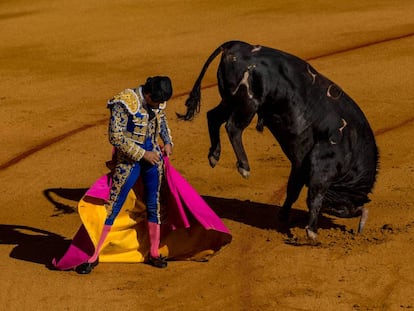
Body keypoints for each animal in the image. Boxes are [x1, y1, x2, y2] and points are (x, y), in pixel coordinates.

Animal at [178, 41, 378, 241]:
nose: (345, 210)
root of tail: (238, 45)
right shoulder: (322, 167)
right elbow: (315, 196)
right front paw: (312, 231)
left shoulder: (300, 166)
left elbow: (293, 190)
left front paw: (283, 215)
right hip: (247, 104)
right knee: (232, 127)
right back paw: (244, 166)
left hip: (230, 101)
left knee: (213, 117)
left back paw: (214, 155)